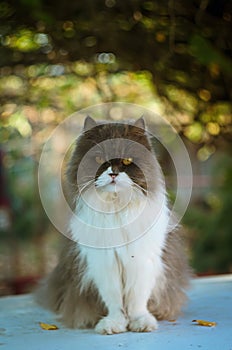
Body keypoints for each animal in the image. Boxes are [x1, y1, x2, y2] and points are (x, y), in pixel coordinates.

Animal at [36, 115, 190, 334]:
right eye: (99, 159)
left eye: (126, 161)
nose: (113, 174)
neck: (117, 206)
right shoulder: (104, 263)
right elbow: (114, 299)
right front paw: (114, 324)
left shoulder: (141, 260)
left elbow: (137, 299)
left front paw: (140, 322)